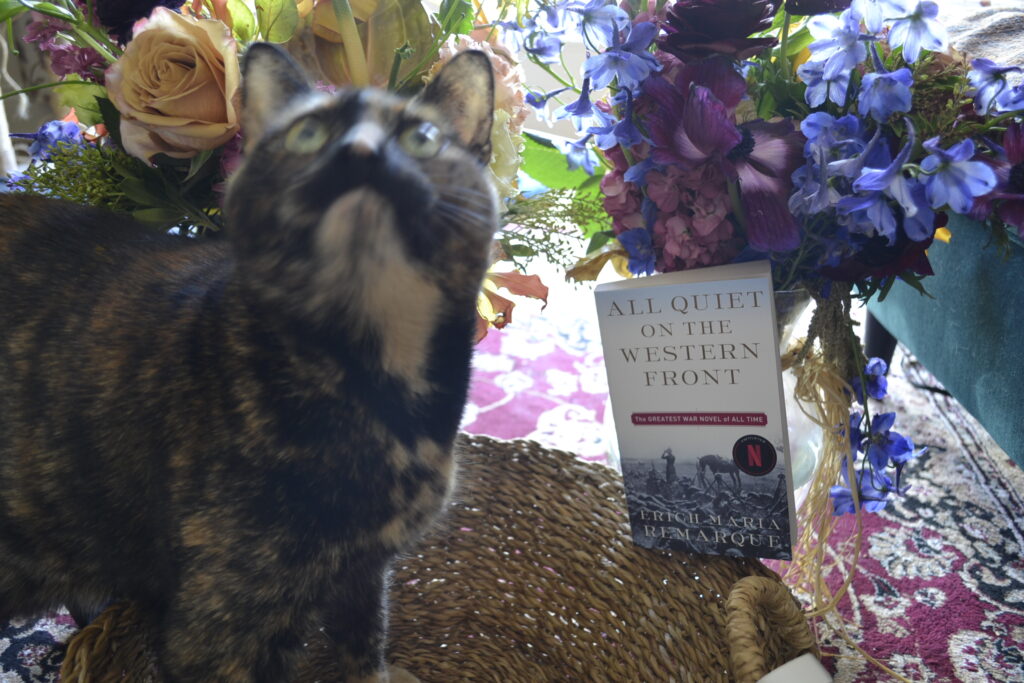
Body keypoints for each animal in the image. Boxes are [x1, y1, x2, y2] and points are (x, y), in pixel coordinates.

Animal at [0, 44, 495, 683]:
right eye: (308, 133)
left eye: (423, 138)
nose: (360, 150)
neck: (378, 386)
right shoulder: (218, 628)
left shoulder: (362, 572)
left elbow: (364, 642)